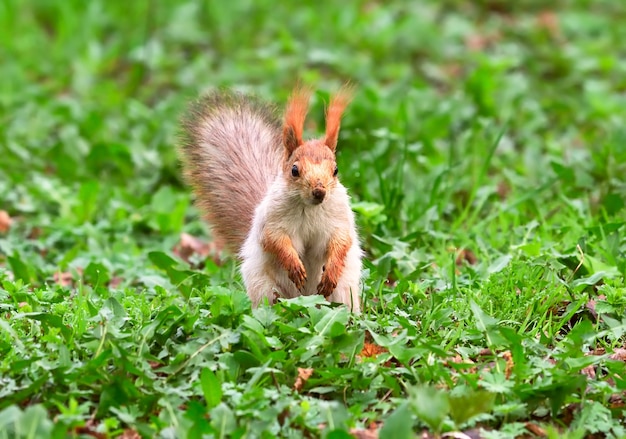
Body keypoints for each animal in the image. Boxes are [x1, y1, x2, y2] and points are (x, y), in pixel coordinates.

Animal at [178, 87, 360, 312]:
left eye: (335, 170)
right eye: (294, 170)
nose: (319, 192)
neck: (310, 208)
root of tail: (307, 300)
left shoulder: (339, 218)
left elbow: (342, 241)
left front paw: (332, 270)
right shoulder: (272, 219)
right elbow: (274, 239)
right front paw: (294, 266)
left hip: (343, 292)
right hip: (265, 288)